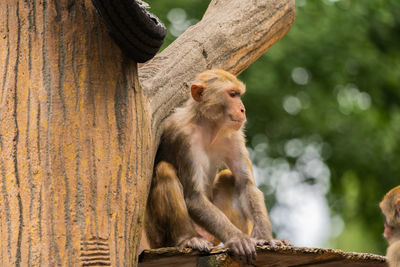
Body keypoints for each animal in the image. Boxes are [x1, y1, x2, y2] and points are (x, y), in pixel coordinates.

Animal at [145, 69, 288, 266]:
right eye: (232, 94)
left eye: (239, 95)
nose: (243, 109)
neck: (209, 125)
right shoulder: (184, 137)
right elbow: (194, 197)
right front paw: (238, 238)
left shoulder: (234, 135)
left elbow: (246, 184)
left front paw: (265, 238)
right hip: (156, 236)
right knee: (164, 170)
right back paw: (188, 239)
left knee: (229, 177)